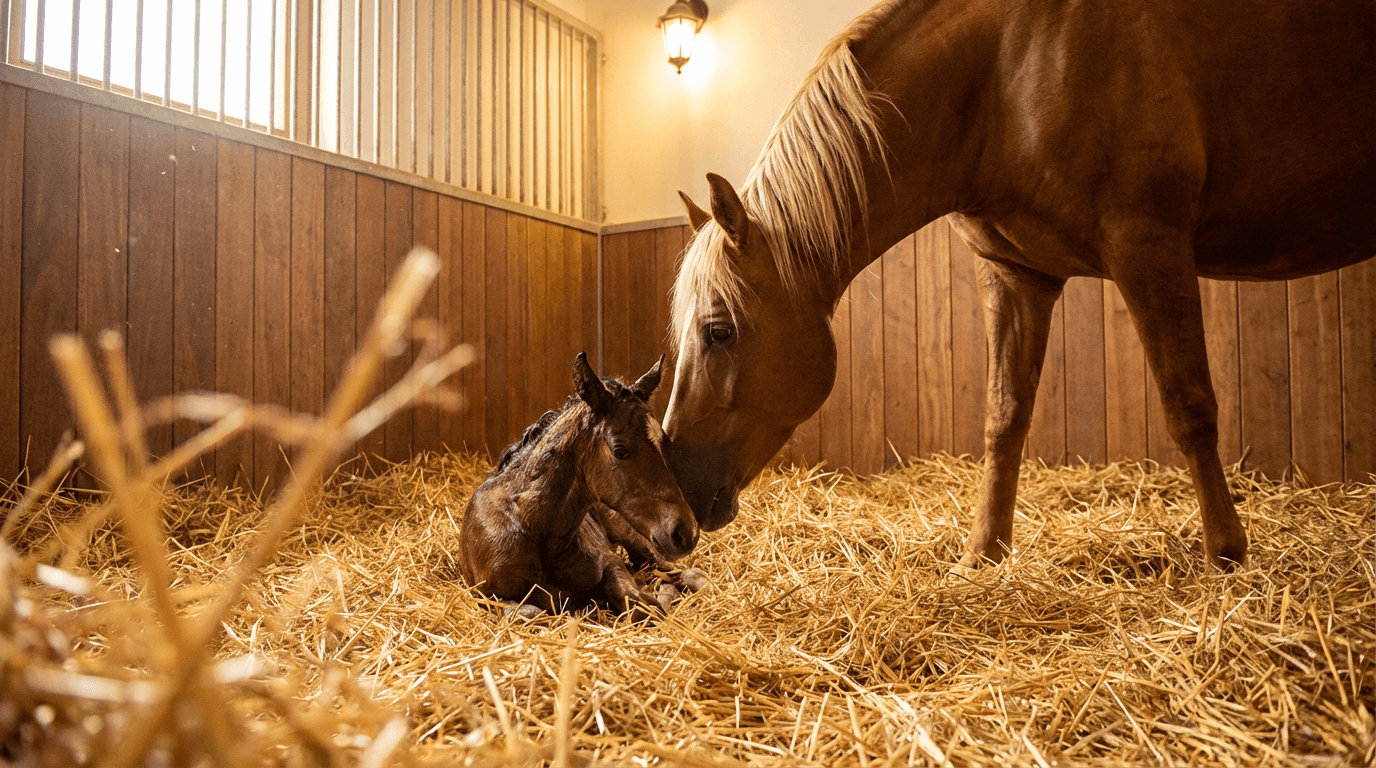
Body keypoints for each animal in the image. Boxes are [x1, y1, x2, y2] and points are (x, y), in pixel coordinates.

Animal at [459, 353, 701, 614]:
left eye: (665, 444)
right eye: (620, 451)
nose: (687, 532)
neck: (534, 528)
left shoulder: (610, 562)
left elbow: (640, 602)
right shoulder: (487, 595)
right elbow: (528, 613)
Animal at [664, 0, 1375, 570]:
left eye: (718, 330)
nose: (677, 480)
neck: (1006, 76)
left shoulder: (1148, 246)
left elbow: (1189, 405)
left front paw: (1225, 554)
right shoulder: (1016, 275)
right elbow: (1004, 418)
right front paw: (984, 553)